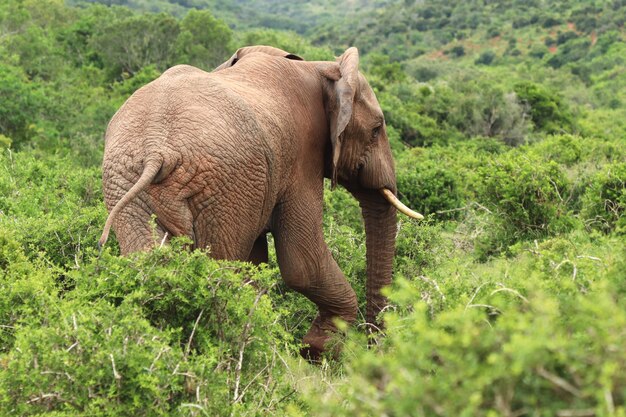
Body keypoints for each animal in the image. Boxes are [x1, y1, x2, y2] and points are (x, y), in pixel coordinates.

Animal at [98, 44, 420, 358]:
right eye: (376, 130)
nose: (374, 345)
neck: (321, 68)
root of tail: (157, 150)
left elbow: (257, 264)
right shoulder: (301, 158)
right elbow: (301, 263)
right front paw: (318, 351)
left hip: (129, 180)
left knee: (148, 258)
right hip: (223, 186)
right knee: (223, 265)